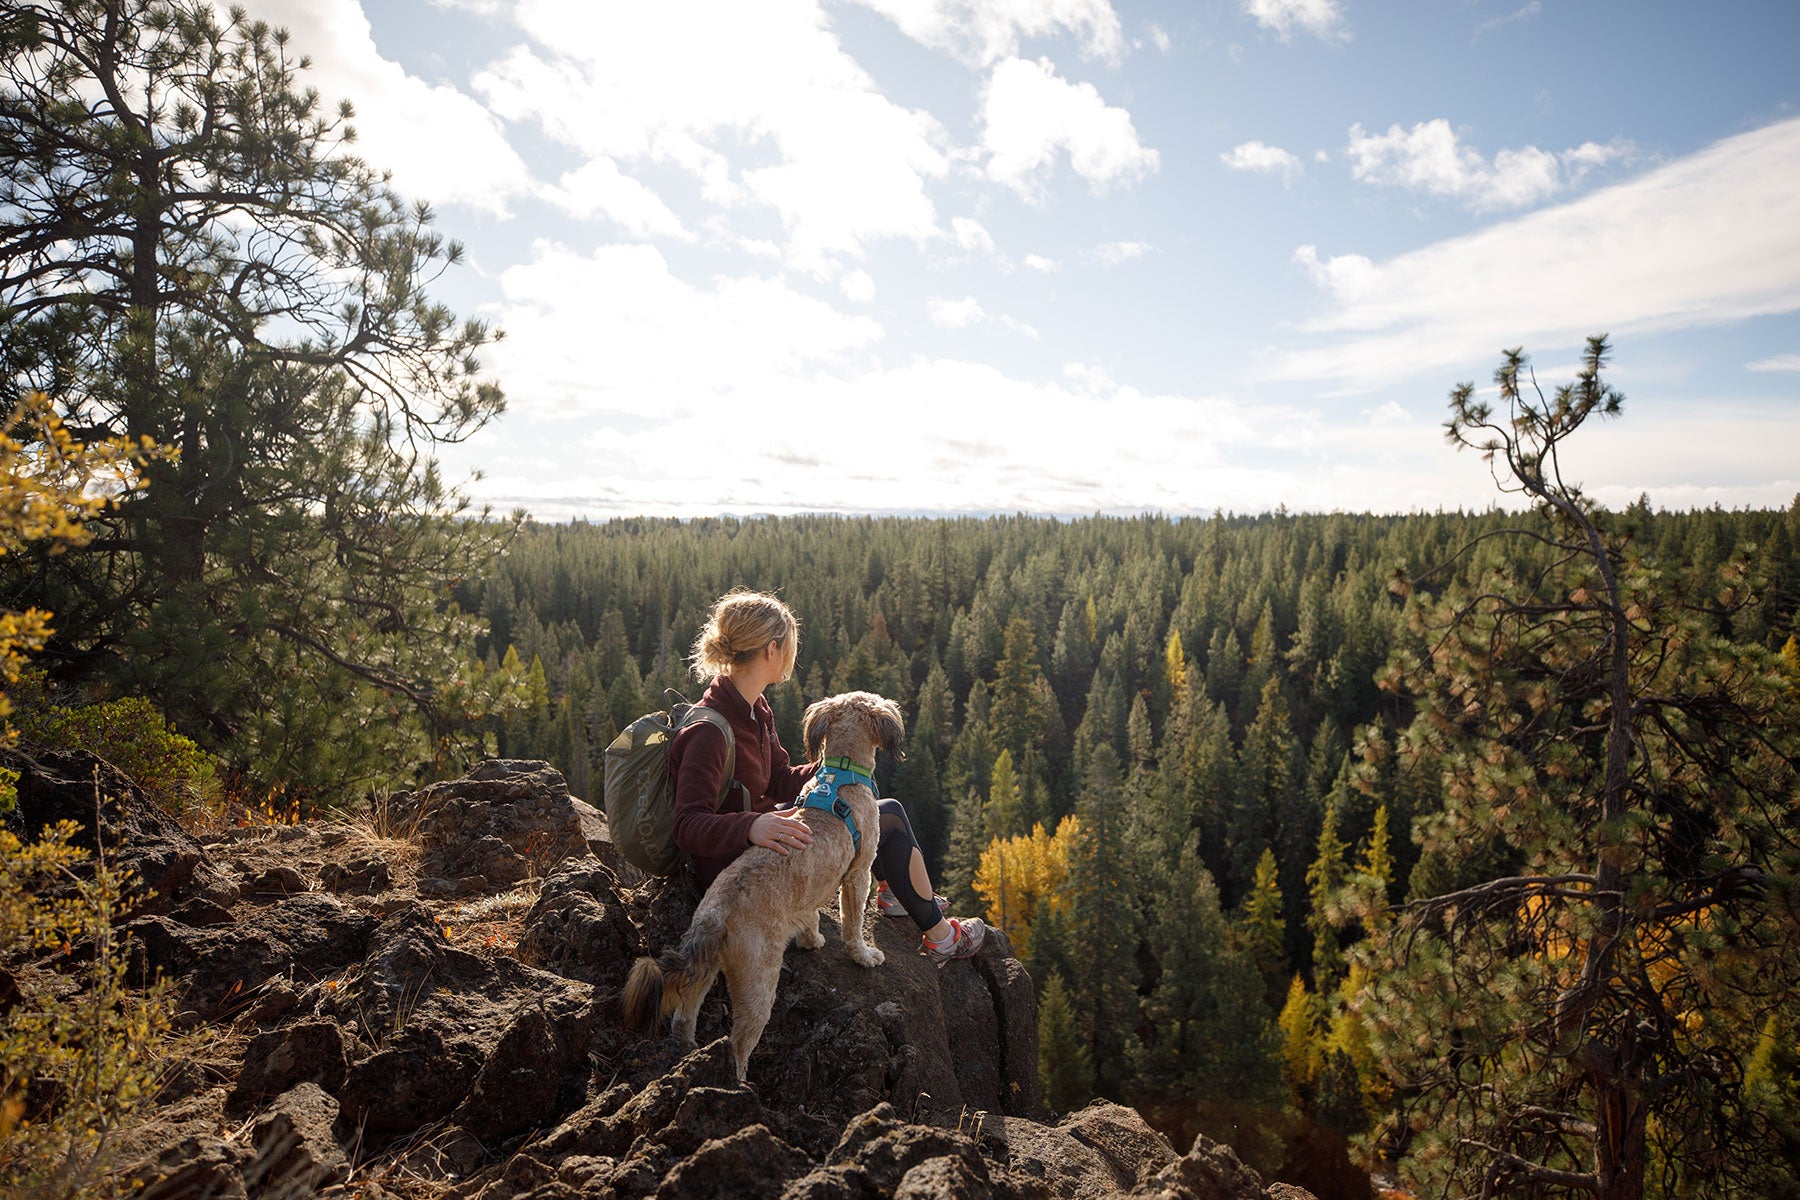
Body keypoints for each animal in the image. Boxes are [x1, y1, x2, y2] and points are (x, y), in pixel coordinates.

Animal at [619, 694, 900, 1079]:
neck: (840, 775)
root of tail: (715, 916)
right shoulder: (858, 873)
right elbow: (854, 922)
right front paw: (864, 955)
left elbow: (809, 915)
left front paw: (811, 938)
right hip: (758, 981)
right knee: (739, 1042)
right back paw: (738, 1081)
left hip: (706, 971)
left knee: (684, 1015)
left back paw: (688, 1052)